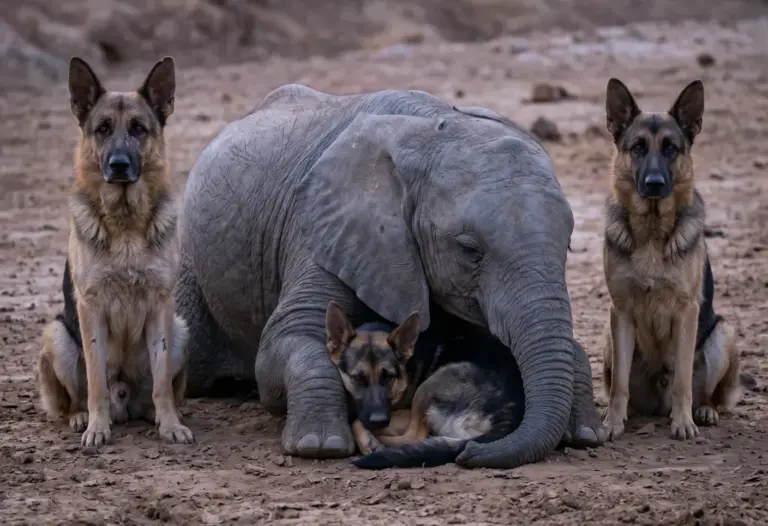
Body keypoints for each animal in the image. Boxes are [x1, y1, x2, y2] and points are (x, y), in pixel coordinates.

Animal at [174, 84, 606, 468]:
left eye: (569, 243)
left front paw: (585, 435)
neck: (431, 129)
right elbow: (285, 343)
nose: (472, 453)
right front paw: (320, 446)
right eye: (469, 250)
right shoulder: (323, 230)